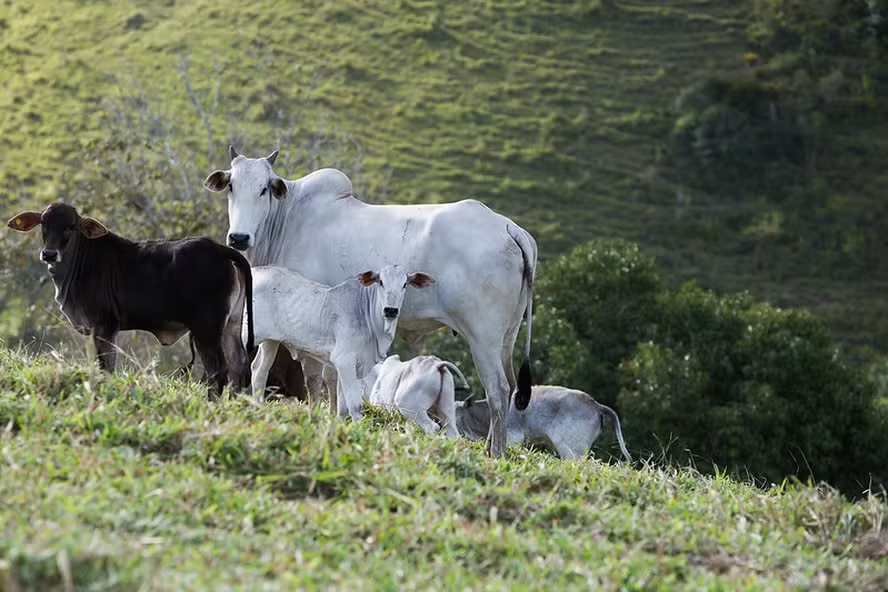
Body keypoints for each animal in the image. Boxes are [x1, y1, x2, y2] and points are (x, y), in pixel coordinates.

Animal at [8, 204, 253, 398]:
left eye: (70, 226)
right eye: (43, 223)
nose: (49, 253)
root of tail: (219, 249)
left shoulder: (104, 326)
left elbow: (105, 367)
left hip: (206, 328)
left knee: (218, 371)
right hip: (231, 324)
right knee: (239, 367)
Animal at [246, 264, 434, 416]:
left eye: (405, 284)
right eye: (380, 282)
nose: (390, 310)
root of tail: (254, 271)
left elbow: (343, 407)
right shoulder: (344, 360)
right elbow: (354, 405)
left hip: (270, 341)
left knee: (259, 370)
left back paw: (258, 409)